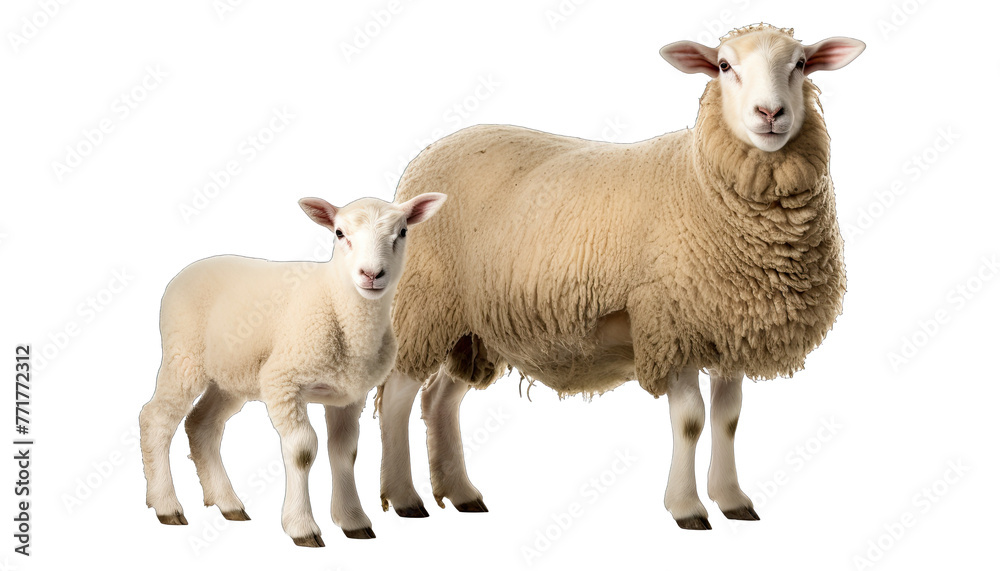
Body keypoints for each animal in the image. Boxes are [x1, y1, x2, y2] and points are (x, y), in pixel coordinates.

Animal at [139, 192, 447, 546]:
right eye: (339, 233)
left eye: (403, 232)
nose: (371, 274)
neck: (337, 304)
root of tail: (189, 269)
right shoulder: (283, 381)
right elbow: (302, 450)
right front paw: (302, 527)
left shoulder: (348, 395)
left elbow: (345, 453)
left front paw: (353, 520)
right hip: (184, 356)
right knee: (156, 418)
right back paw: (166, 505)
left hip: (233, 376)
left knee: (202, 424)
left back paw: (228, 504)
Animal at [376, 24, 864, 530]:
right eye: (725, 65)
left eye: (801, 63)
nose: (769, 113)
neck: (699, 181)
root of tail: (426, 158)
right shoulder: (667, 322)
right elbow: (691, 420)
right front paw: (687, 507)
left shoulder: (727, 323)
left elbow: (728, 418)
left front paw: (732, 500)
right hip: (426, 302)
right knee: (396, 396)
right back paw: (406, 497)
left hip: (472, 324)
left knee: (439, 400)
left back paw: (461, 492)